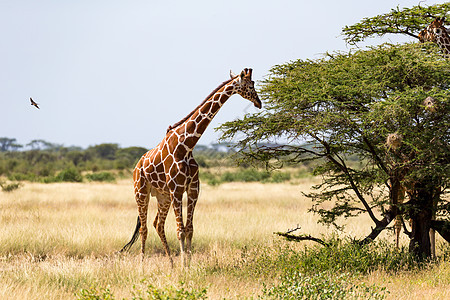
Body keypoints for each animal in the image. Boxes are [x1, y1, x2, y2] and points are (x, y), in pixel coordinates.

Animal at [119, 67, 262, 264]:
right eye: (250, 86)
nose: (259, 102)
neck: (186, 145)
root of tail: (136, 167)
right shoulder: (177, 189)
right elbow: (180, 230)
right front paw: (183, 267)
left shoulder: (193, 188)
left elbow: (189, 229)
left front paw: (188, 265)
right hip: (141, 192)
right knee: (144, 228)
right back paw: (142, 266)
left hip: (163, 196)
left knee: (158, 224)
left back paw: (171, 264)